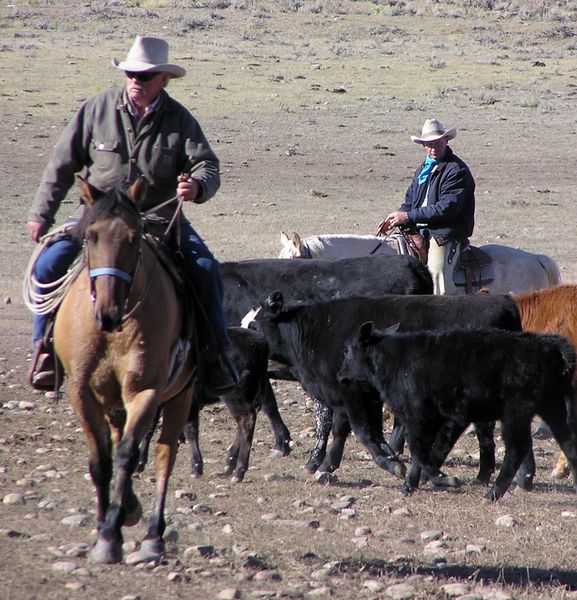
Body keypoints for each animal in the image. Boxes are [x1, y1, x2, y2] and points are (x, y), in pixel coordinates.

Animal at [53, 176, 195, 564]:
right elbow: (101, 461)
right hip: (114, 402)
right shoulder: (81, 391)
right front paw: (104, 527)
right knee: (117, 442)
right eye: (91, 236)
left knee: (163, 455)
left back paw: (153, 535)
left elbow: (129, 455)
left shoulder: (145, 391)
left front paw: (111, 534)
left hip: (180, 396)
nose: (108, 312)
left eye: (134, 238)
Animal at [338, 324, 576, 502]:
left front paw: (441, 479)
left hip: (516, 412)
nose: (339, 376)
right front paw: (411, 485)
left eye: (347, 350)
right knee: (568, 443)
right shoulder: (437, 420)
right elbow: (427, 453)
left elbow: (421, 454)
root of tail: (545, 345)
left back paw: (492, 494)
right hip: (552, 408)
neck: (396, 361)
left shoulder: (419, 417)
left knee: (517, 449)